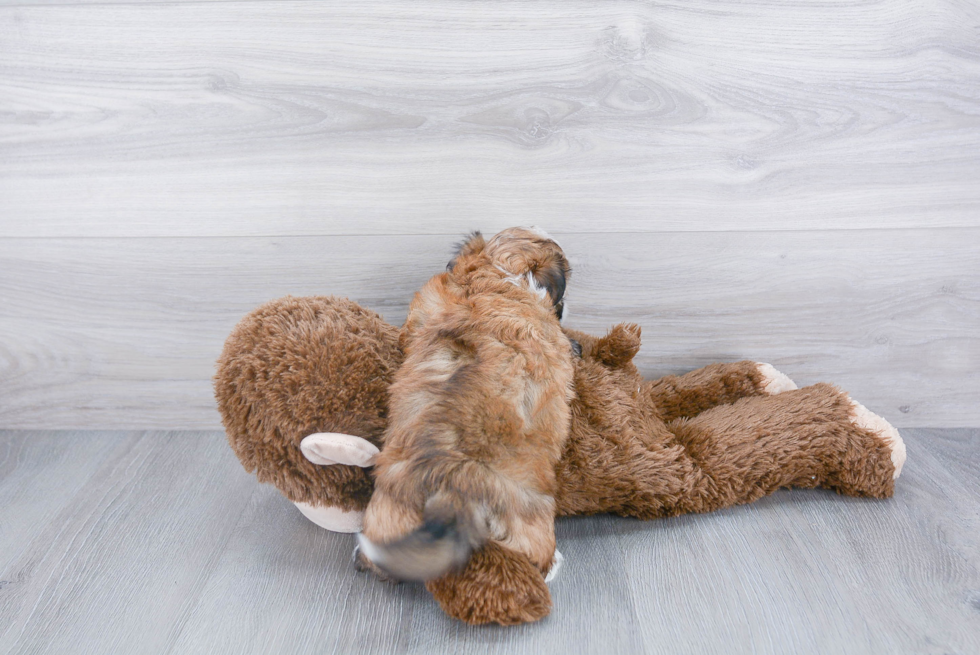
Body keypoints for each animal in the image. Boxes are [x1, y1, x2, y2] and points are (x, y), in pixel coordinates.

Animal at [358, 228, 576, 580]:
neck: (495, 276)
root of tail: (452, 489)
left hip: (390, 513)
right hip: (530, 517)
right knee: (534, 555)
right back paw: (552, 565)